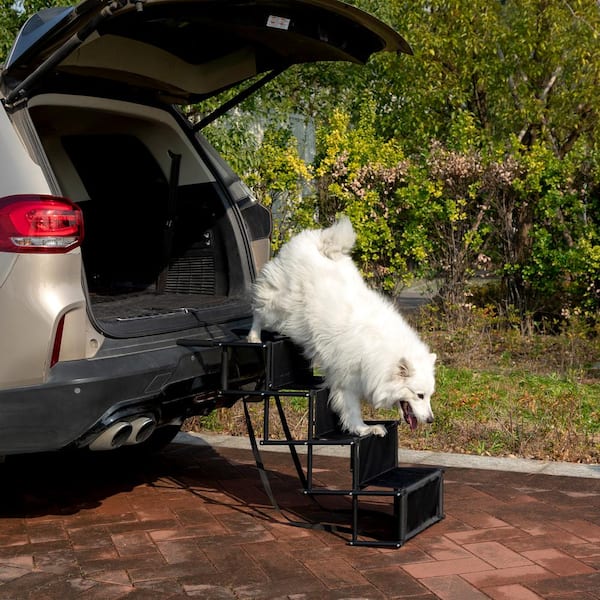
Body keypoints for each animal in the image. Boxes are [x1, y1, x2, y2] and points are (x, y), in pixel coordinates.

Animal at [247, 216, 436, 436]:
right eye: (420, 395)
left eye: (430, 395)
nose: (431, 420)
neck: (380, 353)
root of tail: (318, 241)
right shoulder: (346, 380)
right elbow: (352, 409)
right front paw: (363, 429)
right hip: (278, 305)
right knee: (258, 312)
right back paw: (253, 337)